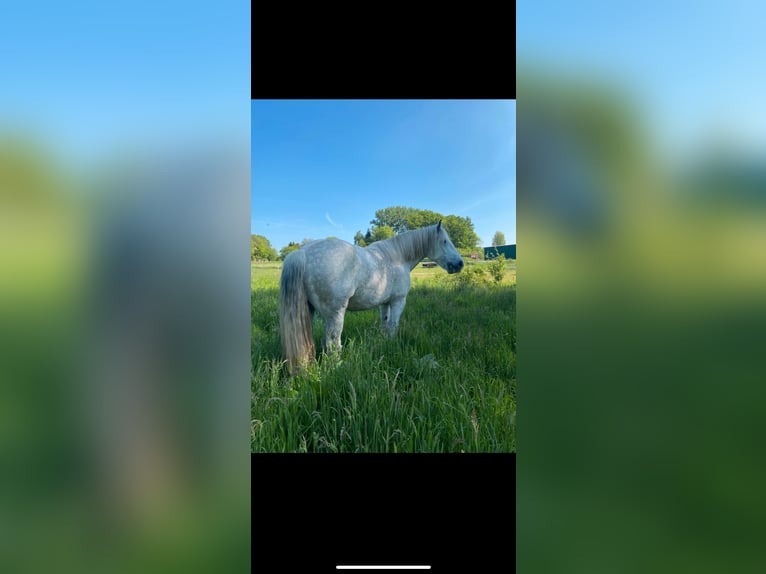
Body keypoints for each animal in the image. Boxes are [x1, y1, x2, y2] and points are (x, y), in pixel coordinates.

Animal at [279, 220, 464, 374]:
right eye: (444, 241)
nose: (460, 263)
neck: (398, 258)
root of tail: (302, 253)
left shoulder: (385, 304)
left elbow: (385, 324)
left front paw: (384, 343)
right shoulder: (398, 301)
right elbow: (393, 326)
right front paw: (391, 345)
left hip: (309, 312)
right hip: (335, 314)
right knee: (332, 343)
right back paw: (337, 368)